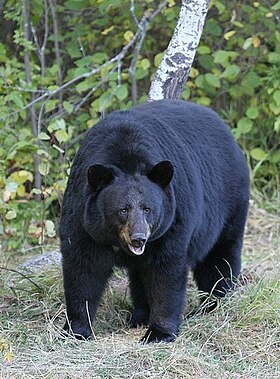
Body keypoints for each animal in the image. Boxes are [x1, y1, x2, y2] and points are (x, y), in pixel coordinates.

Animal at [59, 100, 249, 344]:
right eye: (123, 210)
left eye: (148, 209)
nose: (138, 239)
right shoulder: (83, 218)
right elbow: (83, 268)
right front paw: (77, 330)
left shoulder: (172, 221)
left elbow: (165, 271)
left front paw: (158, 333)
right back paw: (140, 316)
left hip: (228, 204)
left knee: (219, 257)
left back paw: (215, 304)